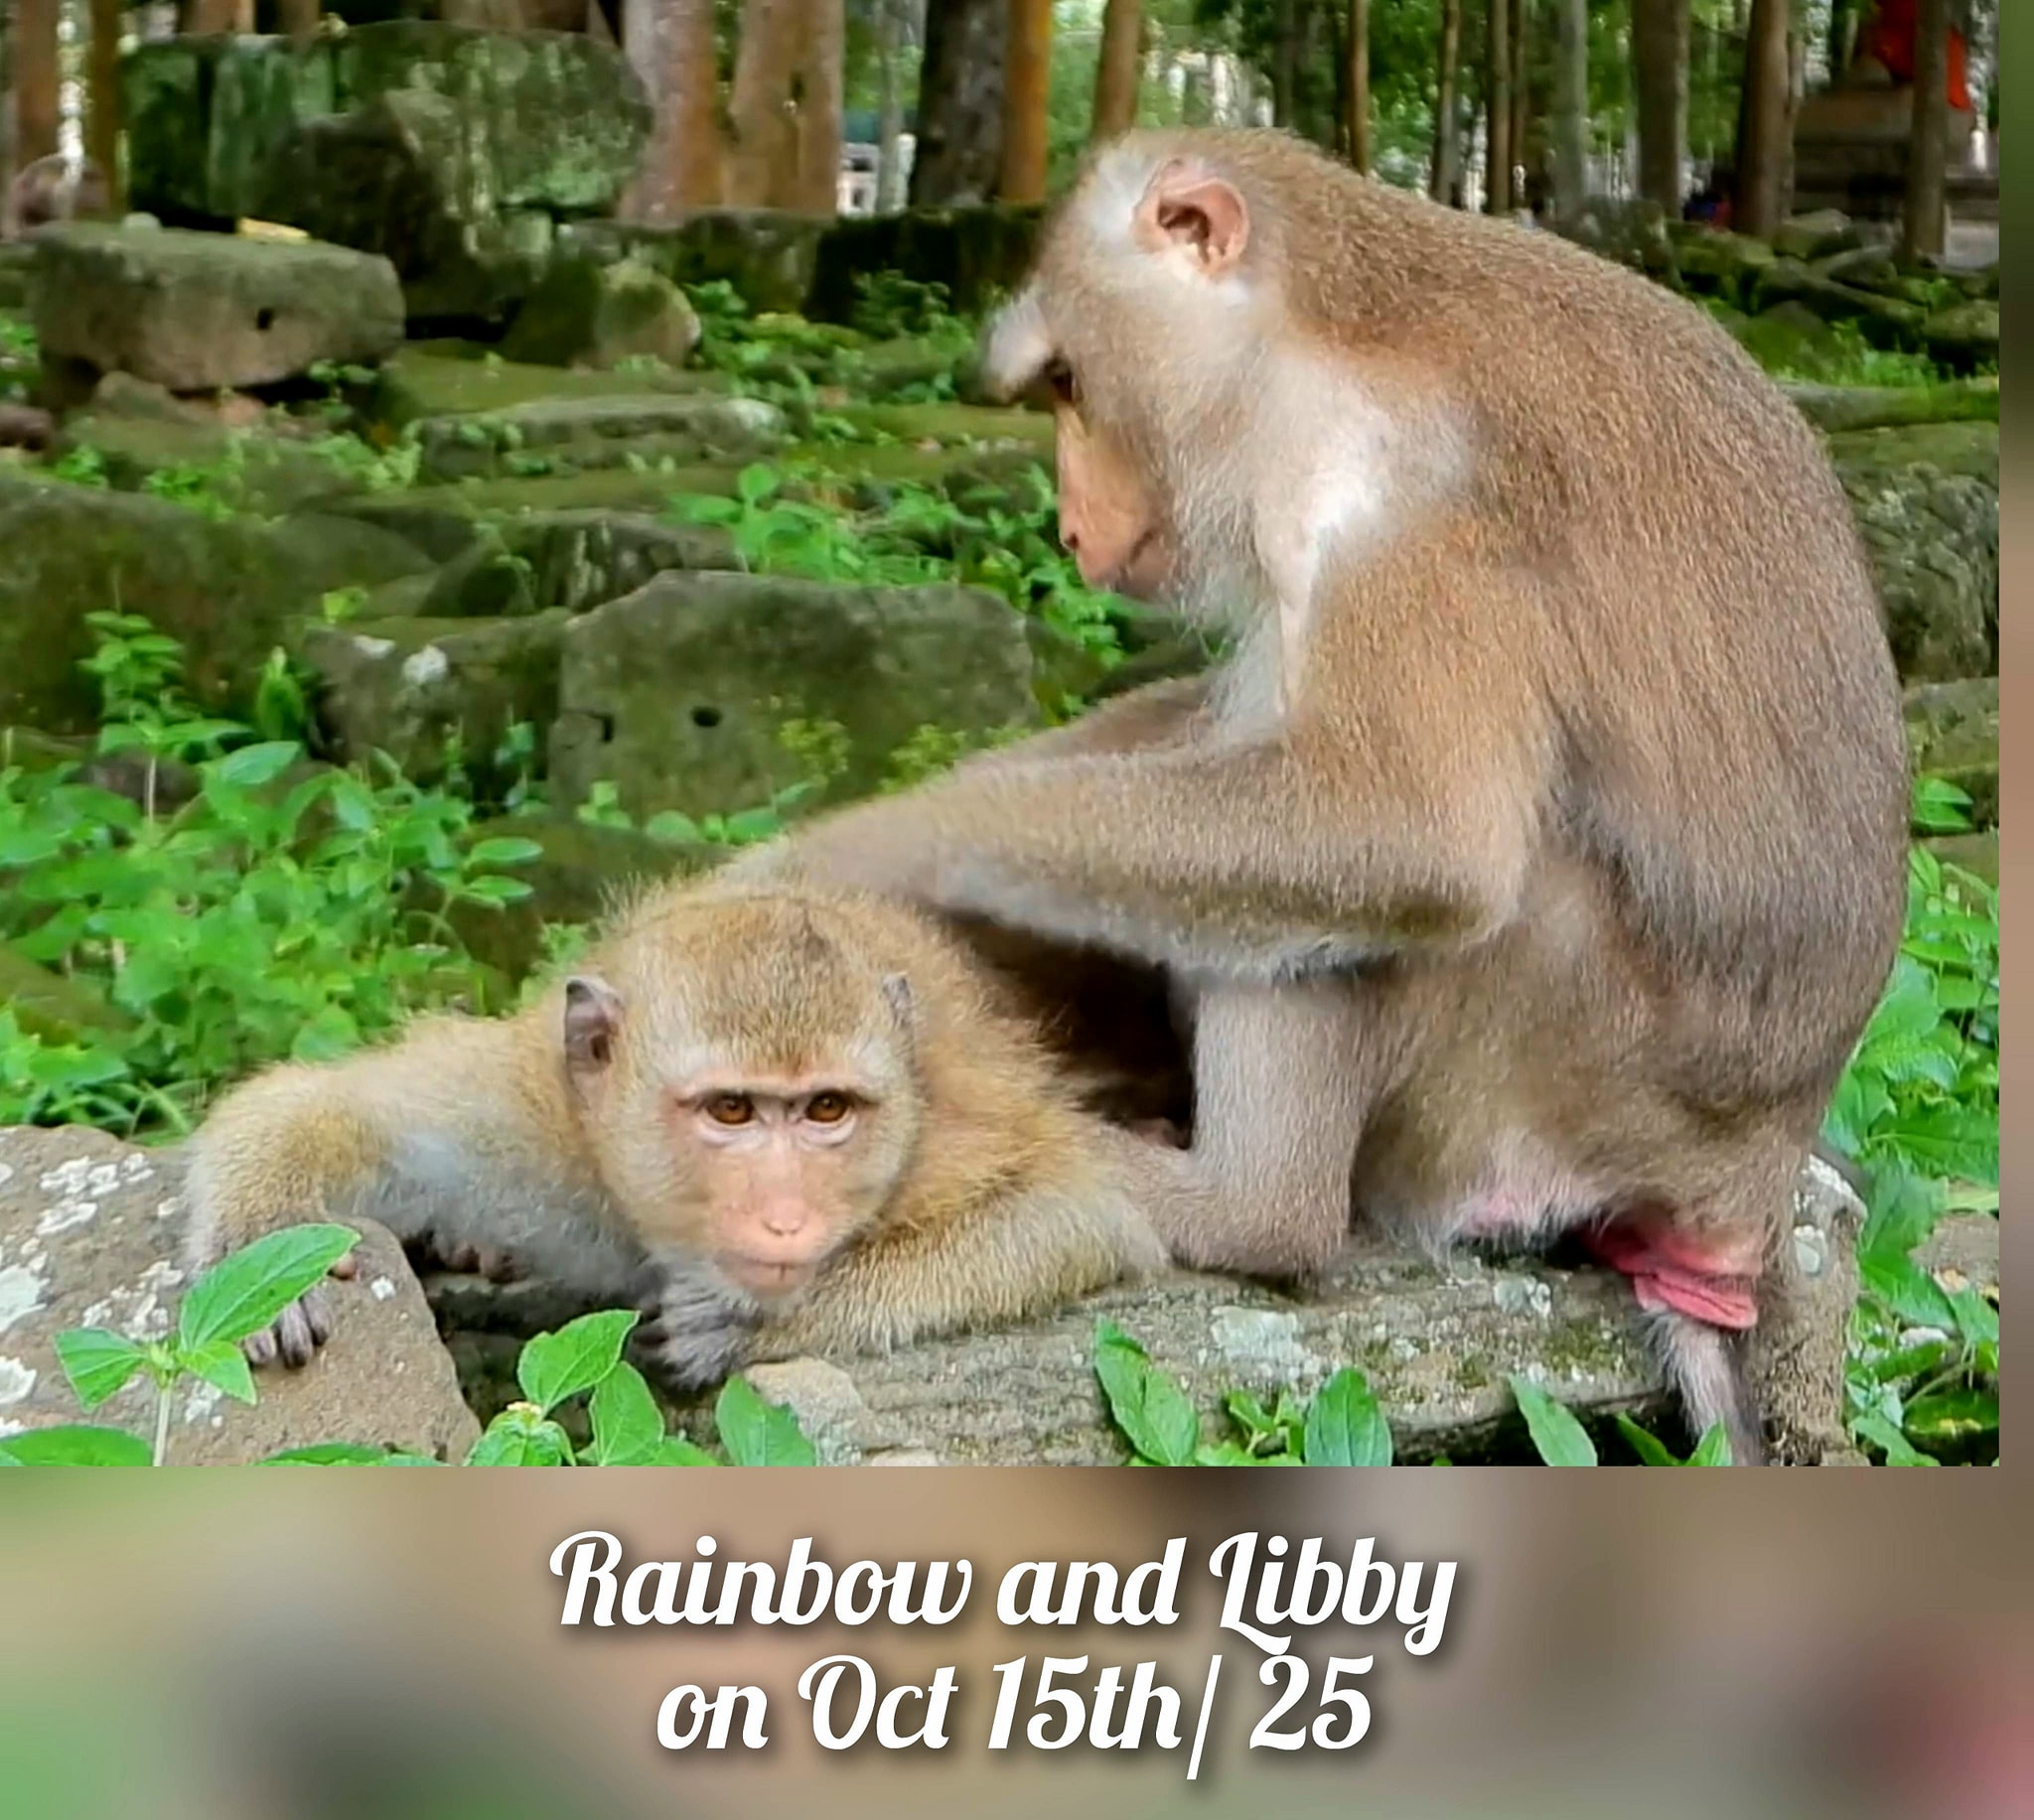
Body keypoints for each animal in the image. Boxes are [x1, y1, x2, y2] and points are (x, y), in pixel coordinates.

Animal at [181, 881, 1169, 1388]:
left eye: (827, 1110)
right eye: (730, 1111)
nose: (784, 1218)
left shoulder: (932, 1147)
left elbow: (1070, 1216)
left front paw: (755, 1319)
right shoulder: (537, 1126)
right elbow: (346, 1107)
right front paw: (257, 1254)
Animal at [716, 128, 1911, 1463]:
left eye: (1069, 381)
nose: (1071, 529)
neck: (1326, 345)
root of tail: (1735, 1199)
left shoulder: (1398, 505)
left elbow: (1403, 836)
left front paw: (851, 857)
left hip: (1530, 1088)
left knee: (1367, 910)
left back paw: (1236, 1207)